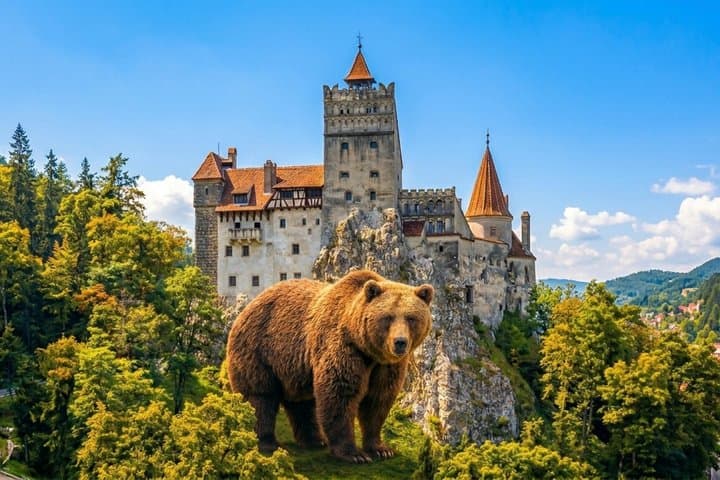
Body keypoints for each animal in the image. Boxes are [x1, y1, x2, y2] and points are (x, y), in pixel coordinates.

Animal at [226, 269, 434, 463]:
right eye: (388, 317)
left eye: (411, 318)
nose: (400, 342)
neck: (367, 349)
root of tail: (249, 305)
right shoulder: (343, 347)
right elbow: (339, 395)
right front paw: (354, 454)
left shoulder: (386, 366)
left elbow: (378, 401)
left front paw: (381, 449)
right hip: (260, 350)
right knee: (260, 397)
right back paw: (268, 443)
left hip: (295, 368)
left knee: (302, 403)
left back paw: (314, 440)